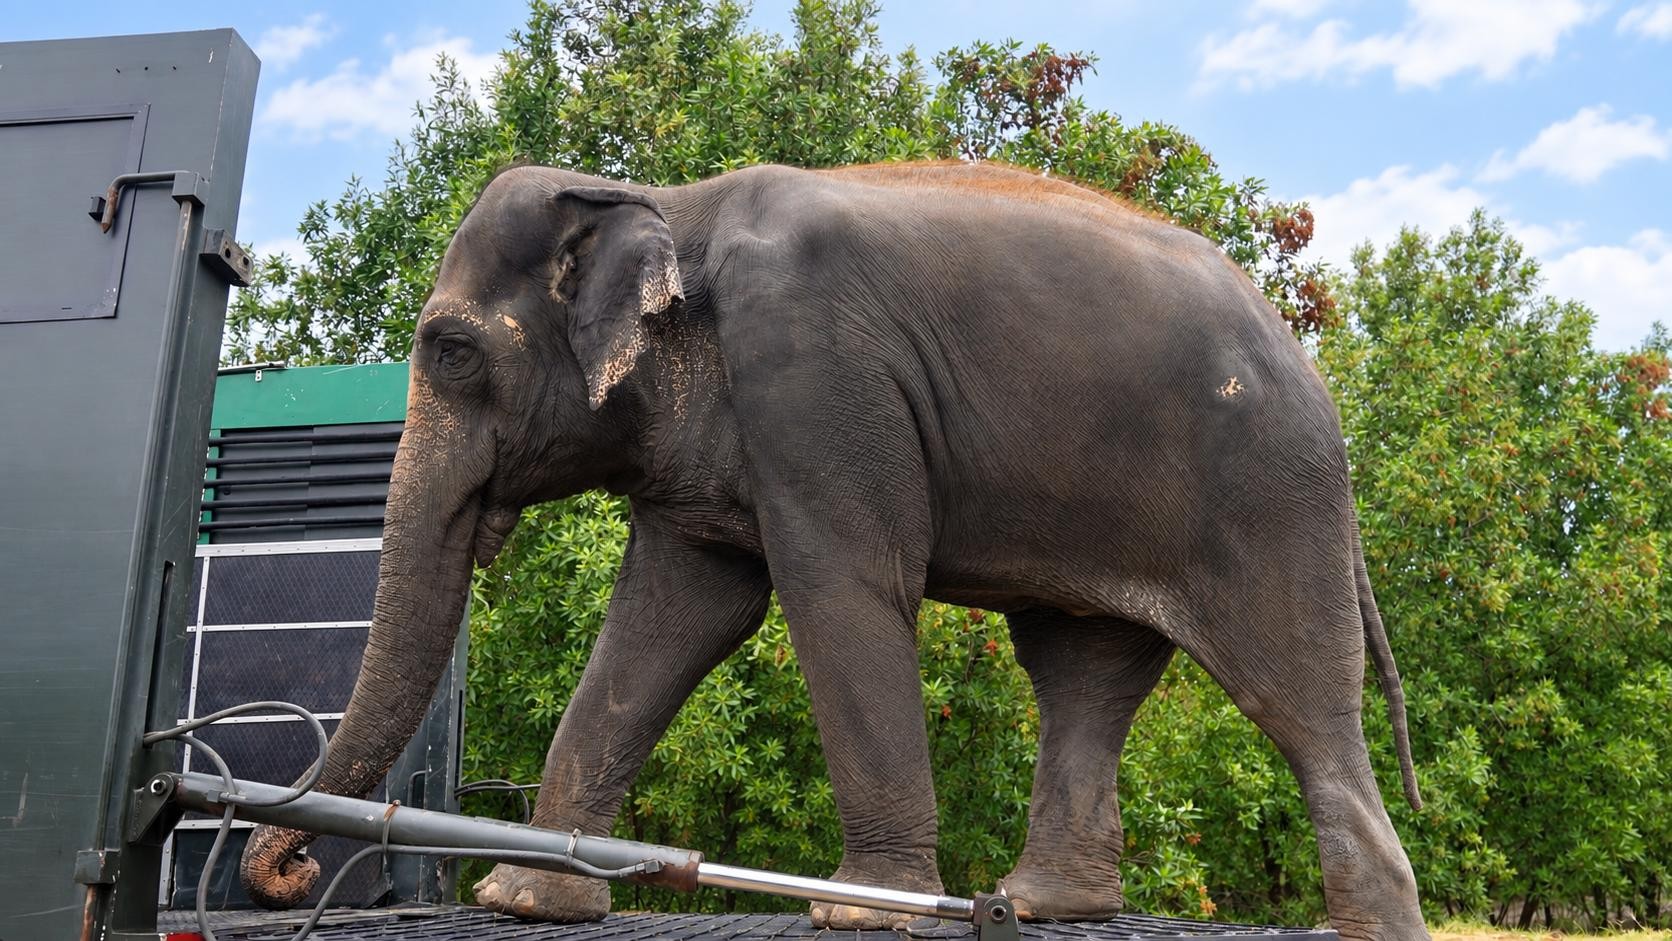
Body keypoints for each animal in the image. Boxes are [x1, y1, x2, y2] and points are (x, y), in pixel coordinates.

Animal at [239, 159, 1428, 941]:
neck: (665, 200)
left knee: (1298, 697)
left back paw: (1368, 918)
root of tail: (1312, 368)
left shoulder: (815, 377)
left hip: (1269, 499)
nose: (285, 869)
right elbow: (674, 613)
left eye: (450, 351)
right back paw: (1042, 903)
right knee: (1080, 674)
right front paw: (526, 901)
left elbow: (840, 587)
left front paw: (860, 909)